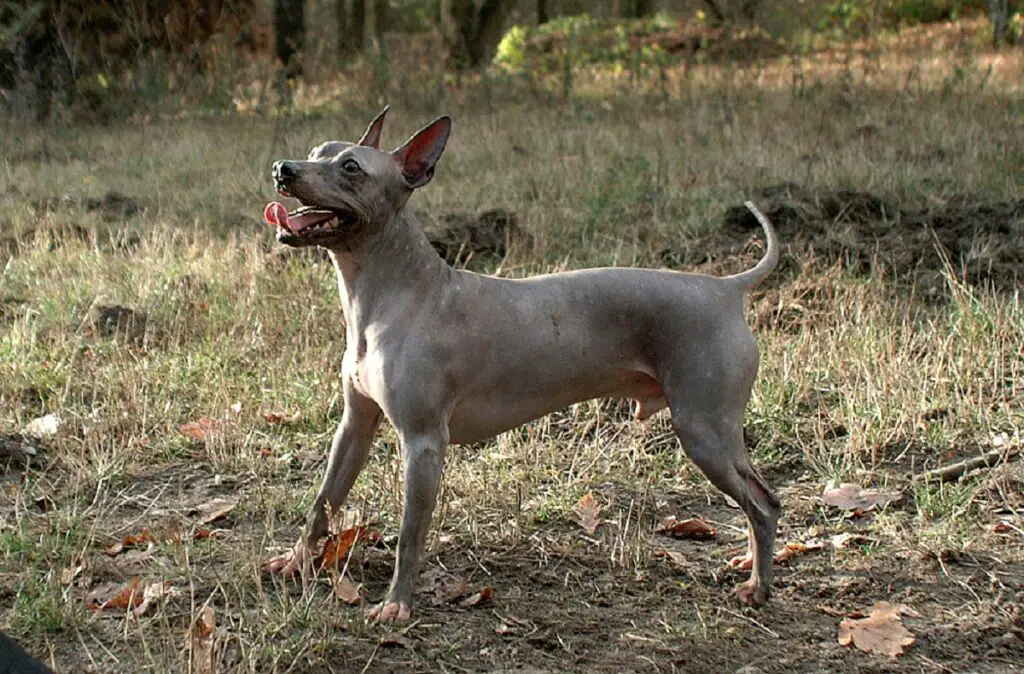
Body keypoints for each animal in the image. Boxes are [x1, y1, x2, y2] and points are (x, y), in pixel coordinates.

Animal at [264, 109, 782, 618]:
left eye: (351, 167)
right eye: (317, 151)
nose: (282, 169)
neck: (395, 295)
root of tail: (725, 288)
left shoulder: (424, 443)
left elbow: (410, 535)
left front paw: (397, 606)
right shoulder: (355, 427)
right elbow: (323, 503)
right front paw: (295, 563)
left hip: (703, 431)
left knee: (765, 504)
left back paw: (758, 587)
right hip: (714, 434)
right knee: (758, 498)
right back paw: (749, 563)